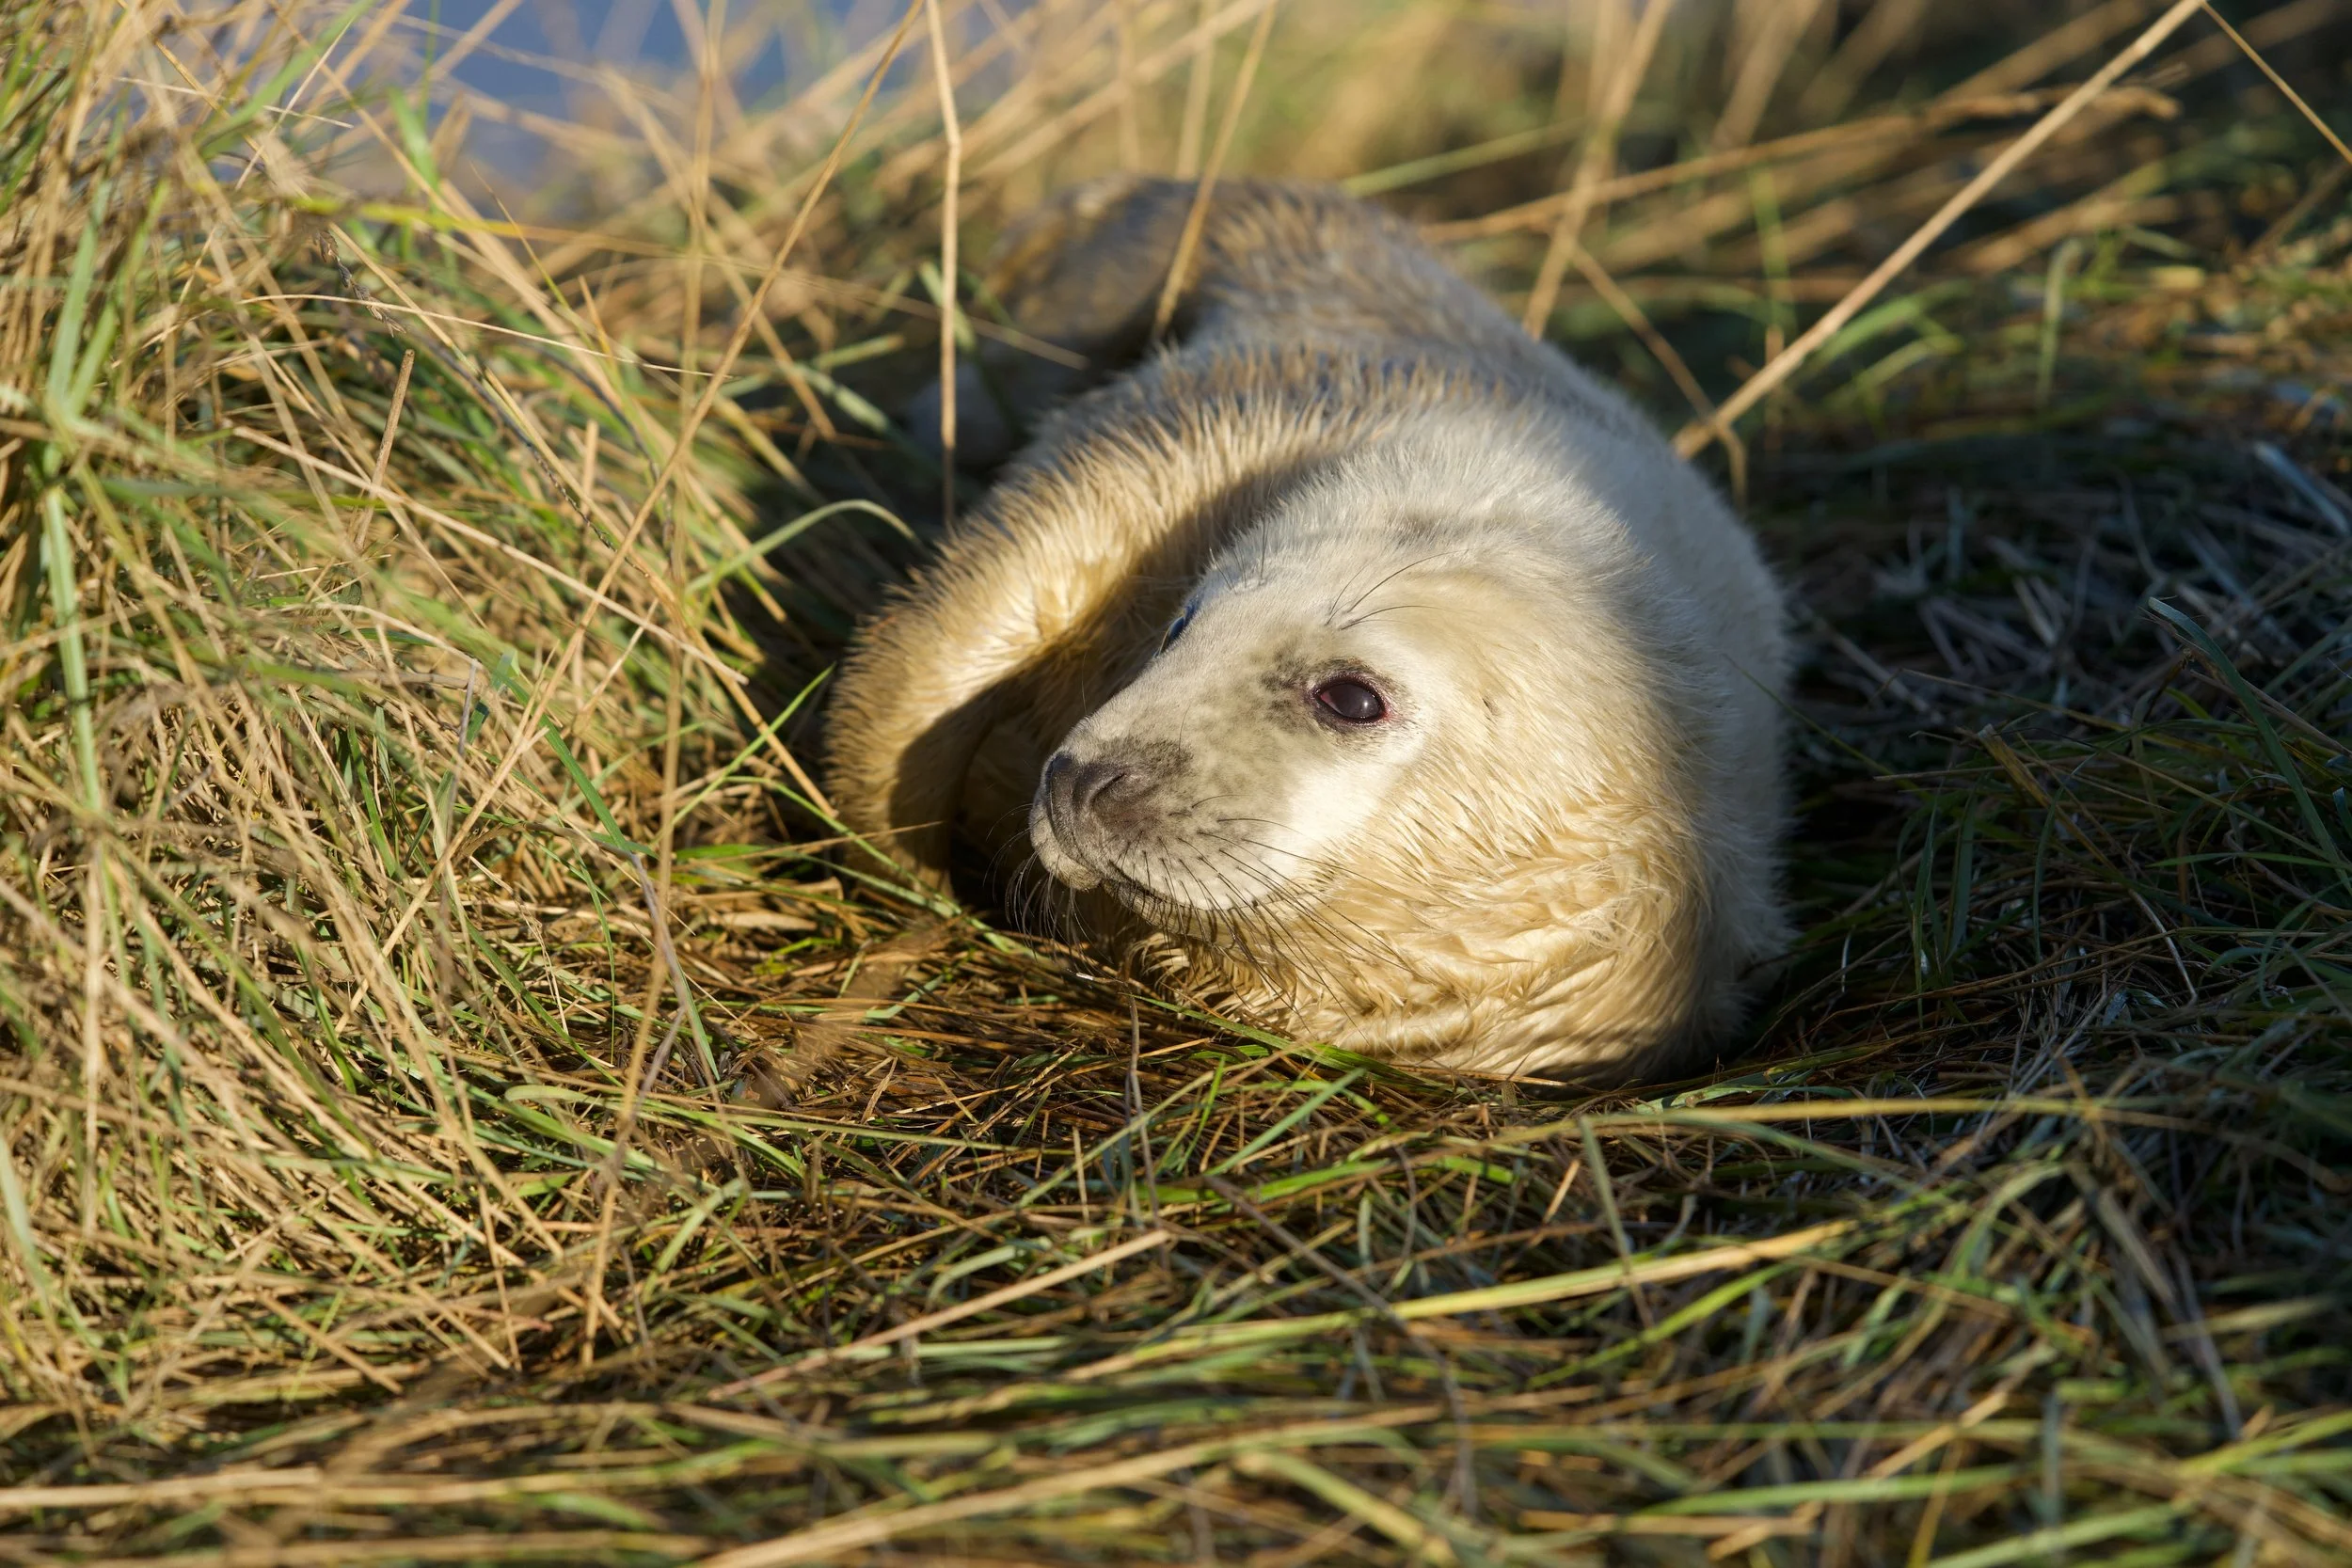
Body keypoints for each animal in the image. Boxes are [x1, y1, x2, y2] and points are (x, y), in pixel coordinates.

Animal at [825, 177, 1789, 1084]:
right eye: (1180, 628)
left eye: (1352, 697)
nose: (1080, 776)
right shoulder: (1212, 423)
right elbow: (945, 644)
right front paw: (907, 865)